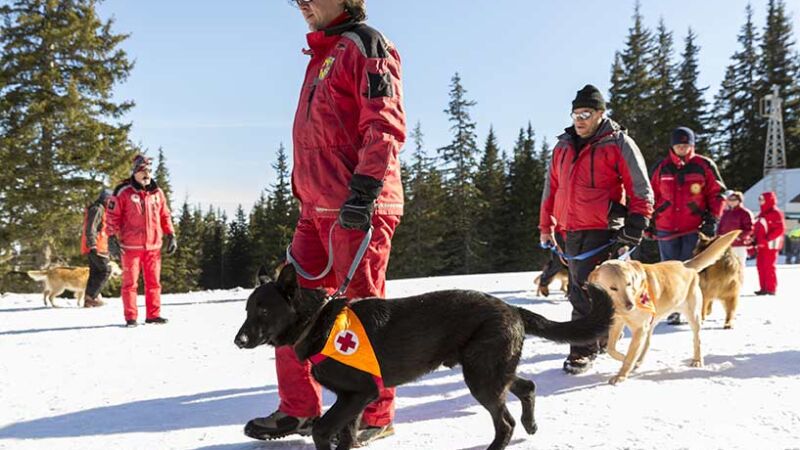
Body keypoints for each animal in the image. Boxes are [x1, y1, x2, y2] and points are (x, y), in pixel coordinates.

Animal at [233, 264, 612, 450]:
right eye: (248, 309)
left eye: (263, 310)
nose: (238, 341)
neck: (317, 320)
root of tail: (512, 310)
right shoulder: (352, 400)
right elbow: (348, 436)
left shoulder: (360, 393)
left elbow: (325, 430)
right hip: (489, 369)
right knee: (527, 387)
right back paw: (531, 425)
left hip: (481, 377)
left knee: (504, 422)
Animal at [584, 230, 740, 384]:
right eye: (613, 288)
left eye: (628, 284)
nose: (630, 305)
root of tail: (686, 265)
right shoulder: (617, 323)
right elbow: (611, 349)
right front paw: (627, 360)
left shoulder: (639, 328)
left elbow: (630, 355)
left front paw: (621, 375)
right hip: (652, 322)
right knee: (647, 343)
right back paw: (639, 361)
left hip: (693, 317)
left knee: (697, 340)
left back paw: (697, 360)